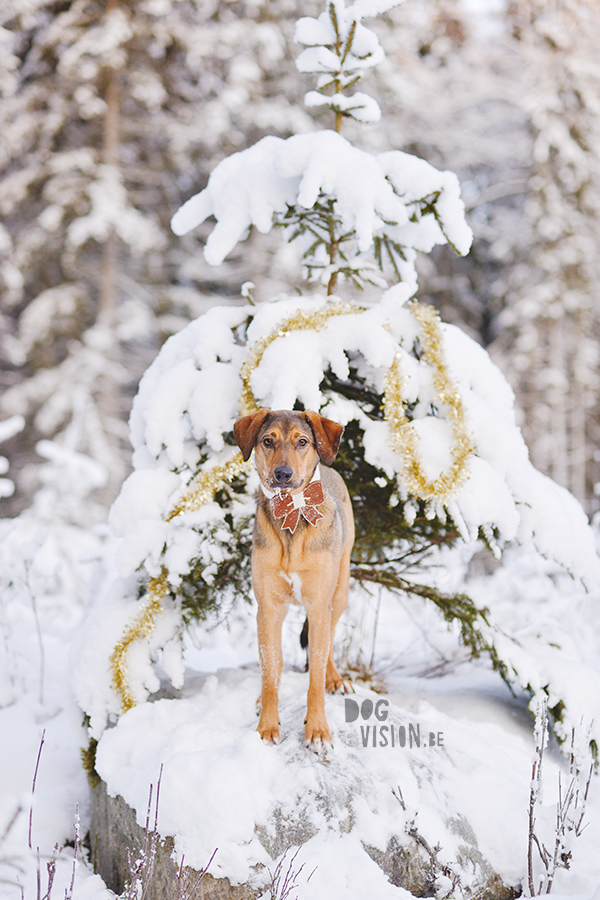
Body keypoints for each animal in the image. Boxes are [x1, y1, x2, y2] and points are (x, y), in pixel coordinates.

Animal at [233, 408, 356, 744]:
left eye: (302, 441)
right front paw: (266, 726)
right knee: (274, 662)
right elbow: (269, 674)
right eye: (267, 441)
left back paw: (335, 679)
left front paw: (317, 730)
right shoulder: (268, 607)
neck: (290, 511)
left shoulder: (318, 605)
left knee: (327, 646)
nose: (283, 474)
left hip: (339, 591)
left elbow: (314, 678)